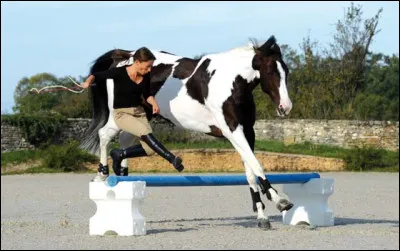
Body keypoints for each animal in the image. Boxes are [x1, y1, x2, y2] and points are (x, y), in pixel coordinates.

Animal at [80, 35, 294, 229]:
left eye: (286, 71)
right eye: (270, 71)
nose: (285, 108)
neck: (231, 82)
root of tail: (125, 57)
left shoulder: (247, 132)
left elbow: (250, 172)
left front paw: (262, 216)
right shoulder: (232, 130)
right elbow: (257, 166)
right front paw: (280, 201)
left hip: (141, 113)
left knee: (127, 139)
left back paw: (122, 174)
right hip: (121, 113)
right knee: (105, 135)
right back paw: (102, 174)